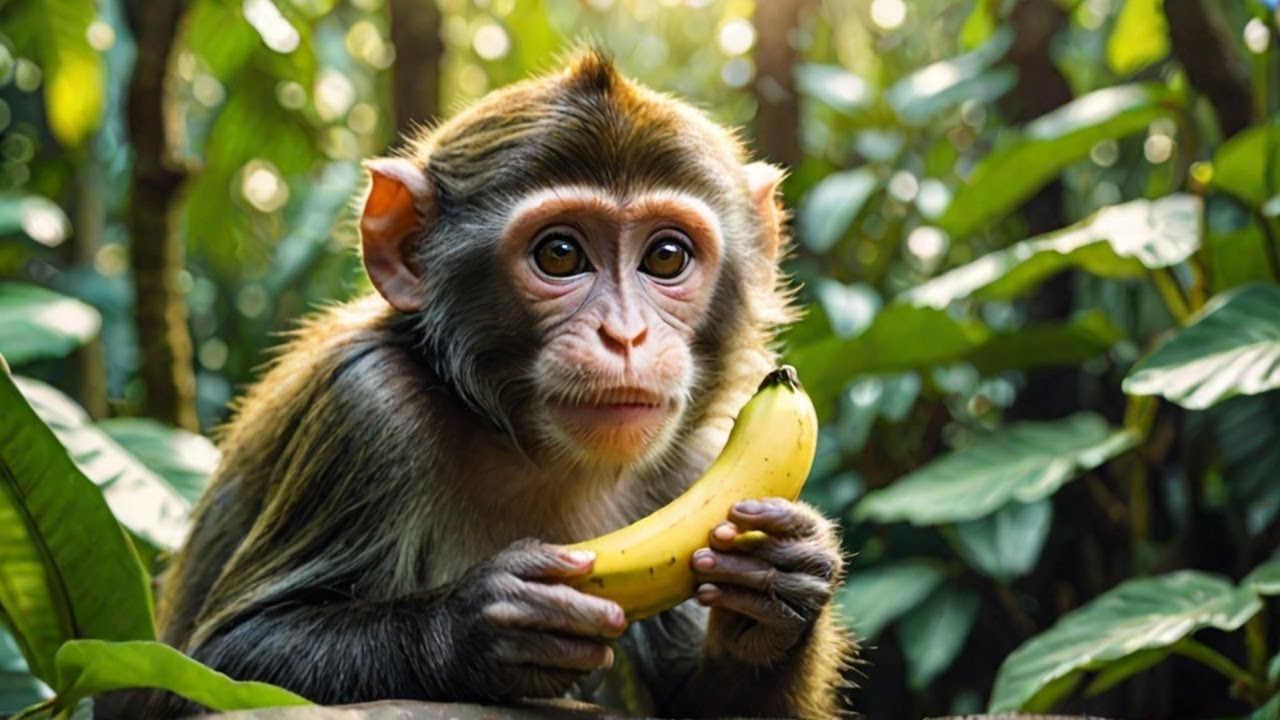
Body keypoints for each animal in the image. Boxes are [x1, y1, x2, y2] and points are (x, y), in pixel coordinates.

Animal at [150, 51, 855, 718]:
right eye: (560, 255)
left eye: (666, 257)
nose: (625, 336)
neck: (522, 444)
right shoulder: (365, 408)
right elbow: (227, 659)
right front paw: (479, 627)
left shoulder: (690, 466)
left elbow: (699, 700)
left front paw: (786, 584)